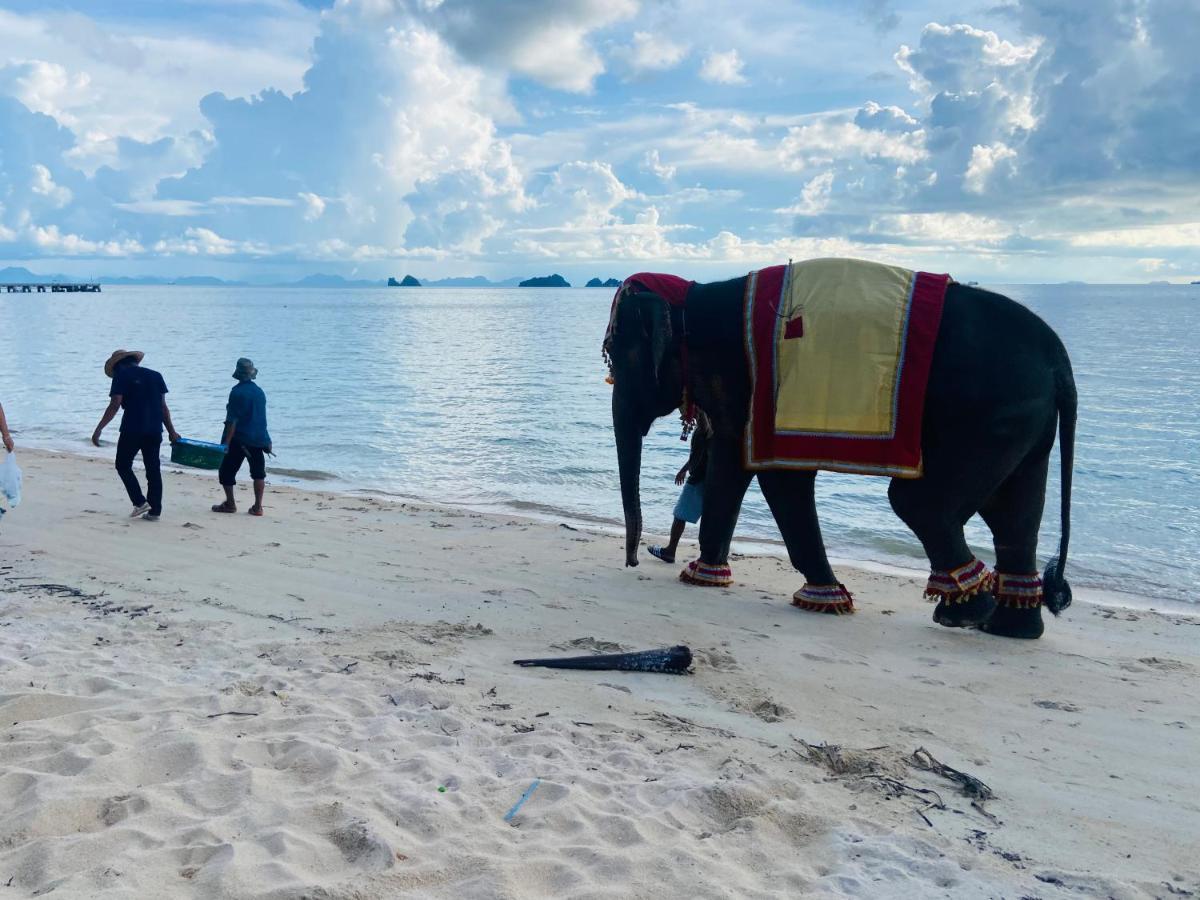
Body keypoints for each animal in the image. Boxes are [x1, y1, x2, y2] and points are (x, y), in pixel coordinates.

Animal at [609, 267, 1080, 643]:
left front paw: (824, 599)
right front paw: (704, 577)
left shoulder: (756, 384)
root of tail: (1058, 356)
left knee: (918, 502)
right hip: (1021, 423)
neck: (694, 296)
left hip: (987, 416)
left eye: (616, 355)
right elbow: (733, 463)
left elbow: (778, 476)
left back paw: (961, 614)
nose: (632, 561)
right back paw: (1008, 627)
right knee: (1014, 513)